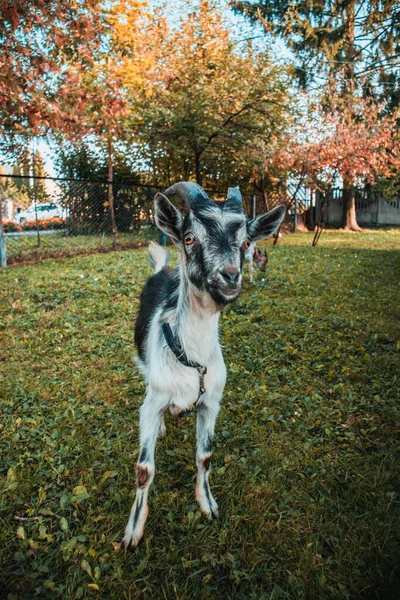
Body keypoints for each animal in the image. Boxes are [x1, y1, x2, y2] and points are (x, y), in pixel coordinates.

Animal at [122, 183, 284, 548]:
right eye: (189, 237)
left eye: (246, 242)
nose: (230, 276)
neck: (191, 357)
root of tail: (160, 271)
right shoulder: (154, 399)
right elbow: (144, 469)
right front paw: (133, 530)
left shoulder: (210, 403)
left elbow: (205, 456)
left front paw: (207, 503)